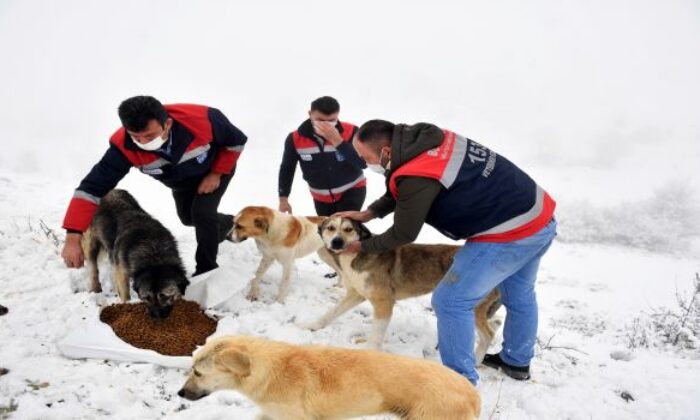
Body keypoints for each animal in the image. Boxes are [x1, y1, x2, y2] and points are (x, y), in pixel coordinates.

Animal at [81, 190, 189, 318]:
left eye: (165, 296)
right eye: (146, 298)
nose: (156, 317)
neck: (153, 252)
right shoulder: (121, 272)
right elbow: (125, 294)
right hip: (91, 244)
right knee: (93, 267)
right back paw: (96, 288)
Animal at [308, 217, 500, 360]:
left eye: (349, 229)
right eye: (331, 228)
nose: (337, 241)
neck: (356, 255)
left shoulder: (384, 302)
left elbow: (376, 334)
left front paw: (369, 353)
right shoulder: (356, 295)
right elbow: (332, 312)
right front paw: (312, 326)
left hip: (470, 305)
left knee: (488, 334)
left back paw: (476, 361)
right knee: (494, 324)